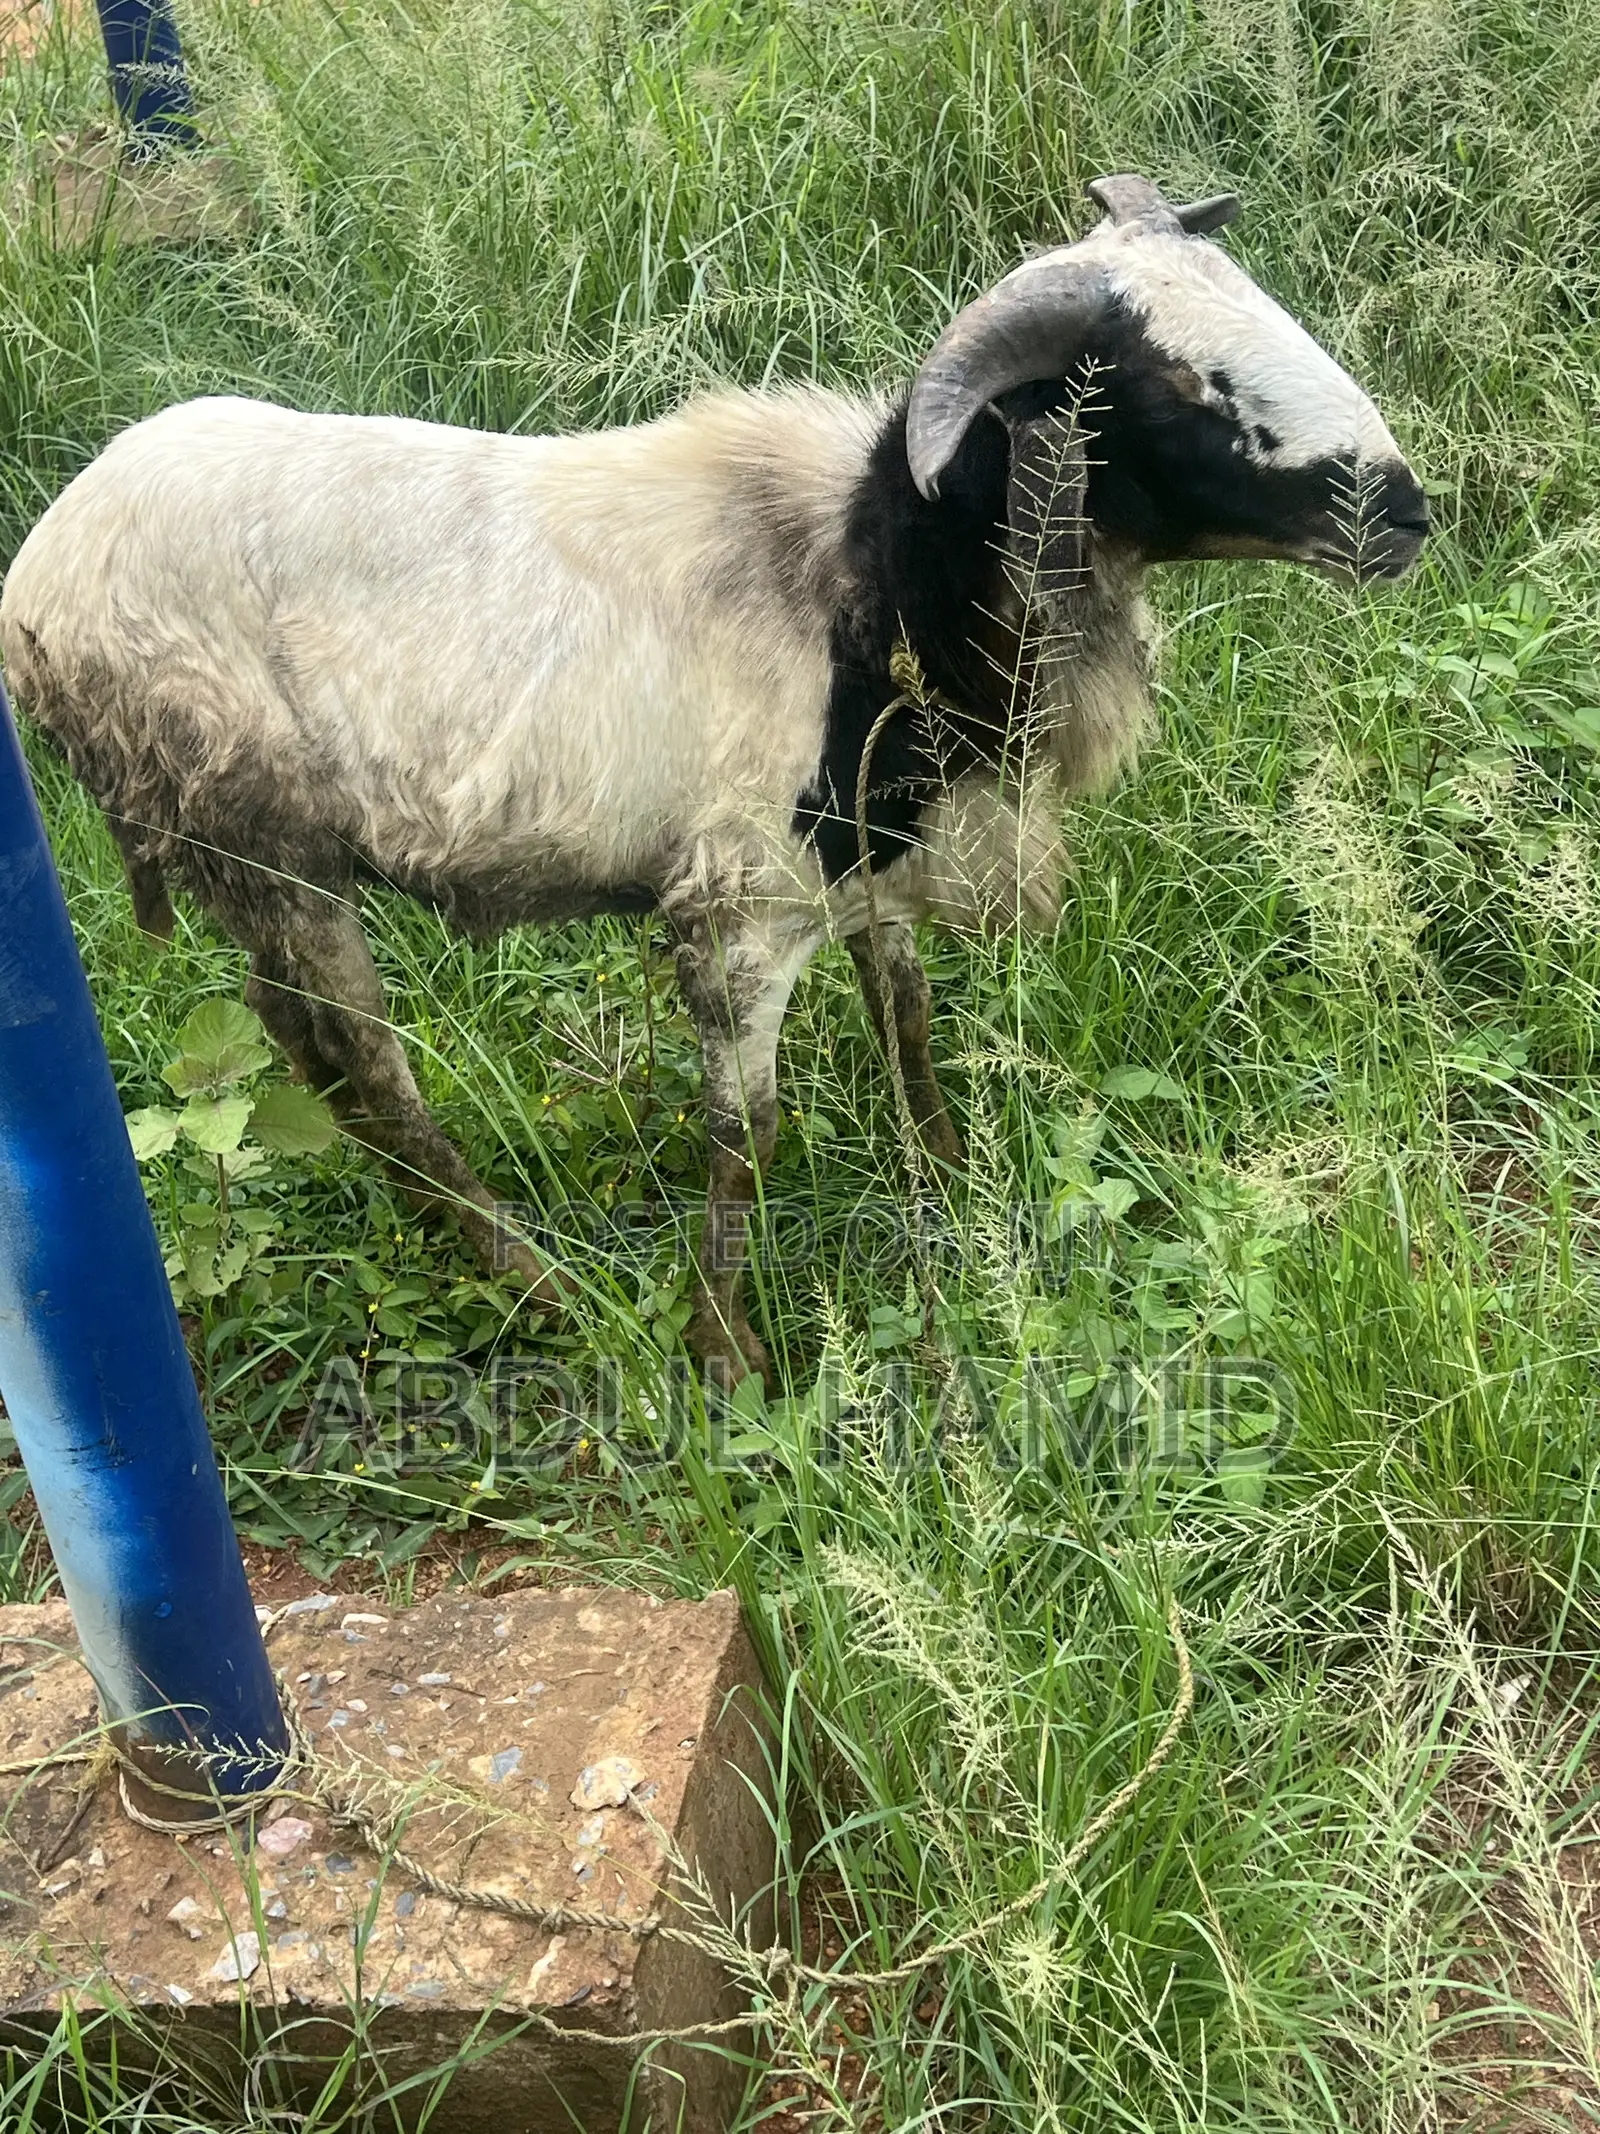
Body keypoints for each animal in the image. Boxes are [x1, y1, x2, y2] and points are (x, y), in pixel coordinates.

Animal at [1, 173, 1428, 1385]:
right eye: (1188, 384)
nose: (1407, 514)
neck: (869, 577)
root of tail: (38, 581)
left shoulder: (862, 864)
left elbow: (908, 1017)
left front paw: (946, 1185)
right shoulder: (736, 911)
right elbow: (745, 1136)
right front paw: (728, 1357)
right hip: (260, 839)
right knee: (367, 1074)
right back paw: (542, 1292)